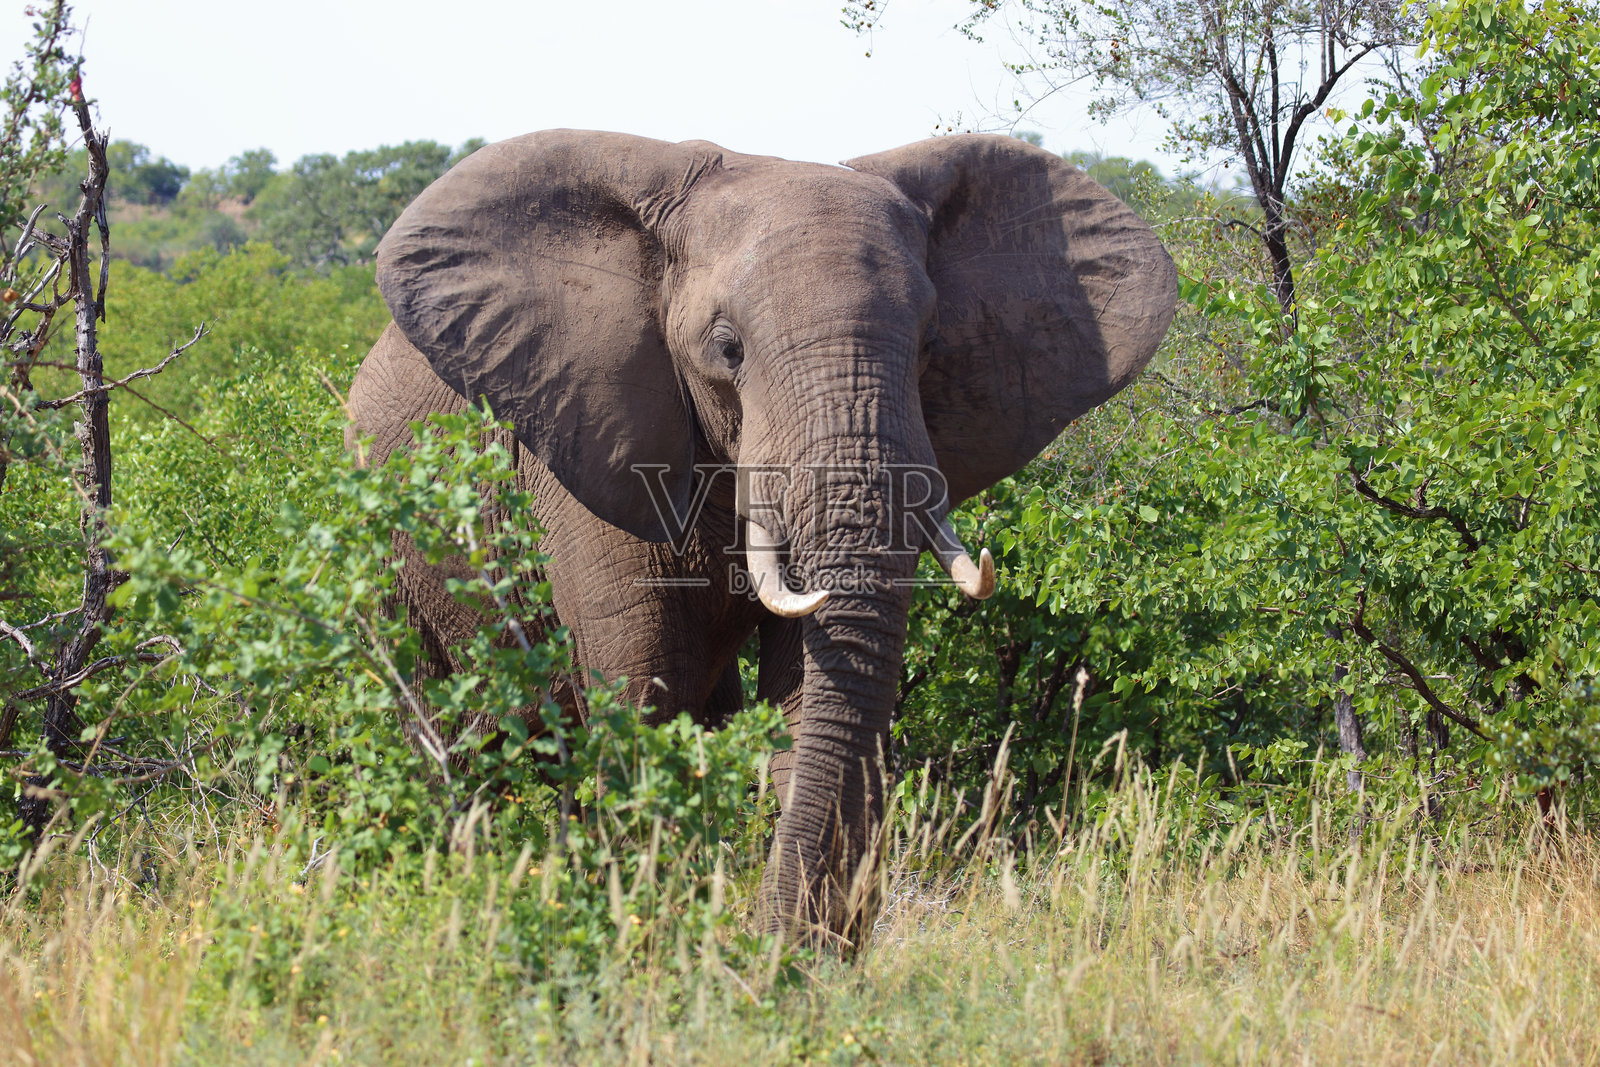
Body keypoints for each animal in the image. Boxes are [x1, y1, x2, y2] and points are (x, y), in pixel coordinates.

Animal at [346, 129, 1177, 944]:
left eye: (930, 343)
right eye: (728, 349)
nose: (776, 946)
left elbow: (805, 695)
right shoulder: (586, 445)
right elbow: (645, 686)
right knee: (442, 733)